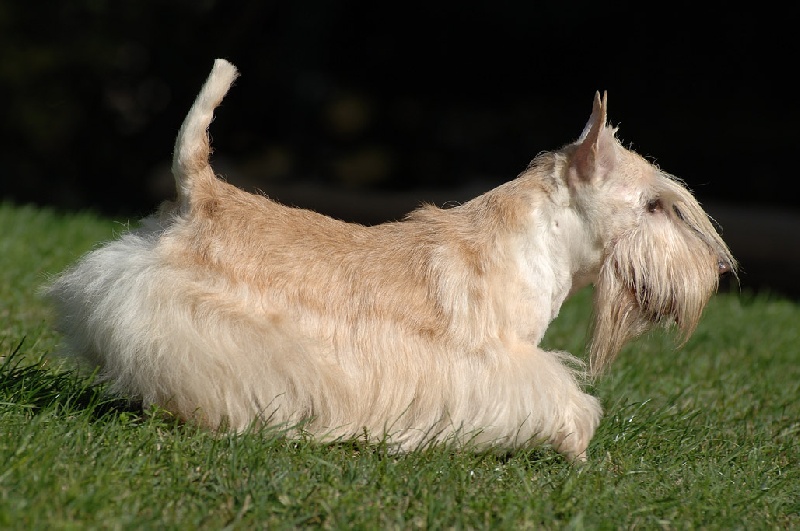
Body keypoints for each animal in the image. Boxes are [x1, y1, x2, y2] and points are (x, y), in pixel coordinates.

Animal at [42, 59, 732, 462]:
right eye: (655, 205)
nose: (719, 273)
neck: (541, 242)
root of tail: (199, 192)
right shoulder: (499, 365)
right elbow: (562, 402)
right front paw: (574, 447)